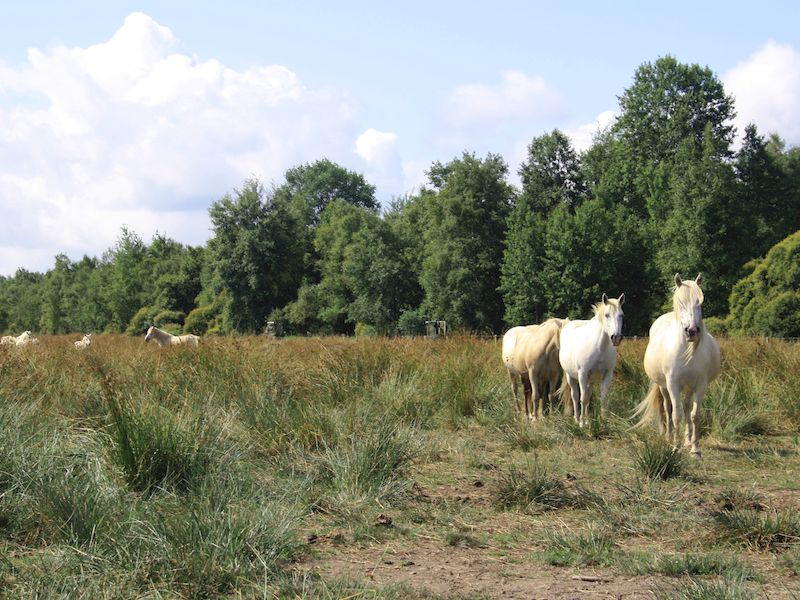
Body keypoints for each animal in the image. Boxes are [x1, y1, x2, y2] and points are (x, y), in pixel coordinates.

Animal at [556, 294, 624, 426]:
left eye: (621, 315)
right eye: (607, 315)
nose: (616, 338)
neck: (599, 347)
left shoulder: (607, 374)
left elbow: (603, 398)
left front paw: (603, 421)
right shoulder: (582, 374)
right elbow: (582, 399)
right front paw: (582, 423)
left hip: (590, 380)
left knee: (588, 394)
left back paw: (588, 420)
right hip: (571, 376)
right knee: (575, 396)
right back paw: (577, 419)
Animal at [636, 274, 720, 458]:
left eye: (700, 303)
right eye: (681, 303)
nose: (692, 331)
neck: (687, 351)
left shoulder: (700, 385)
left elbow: (695, 415)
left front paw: (695, 449)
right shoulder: (672, 384)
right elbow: (676, 415)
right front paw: (675, 448)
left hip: (688, 387)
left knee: (687, 407)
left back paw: (687, 441)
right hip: (663, 387)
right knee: (668, 408)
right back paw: (668, 437)